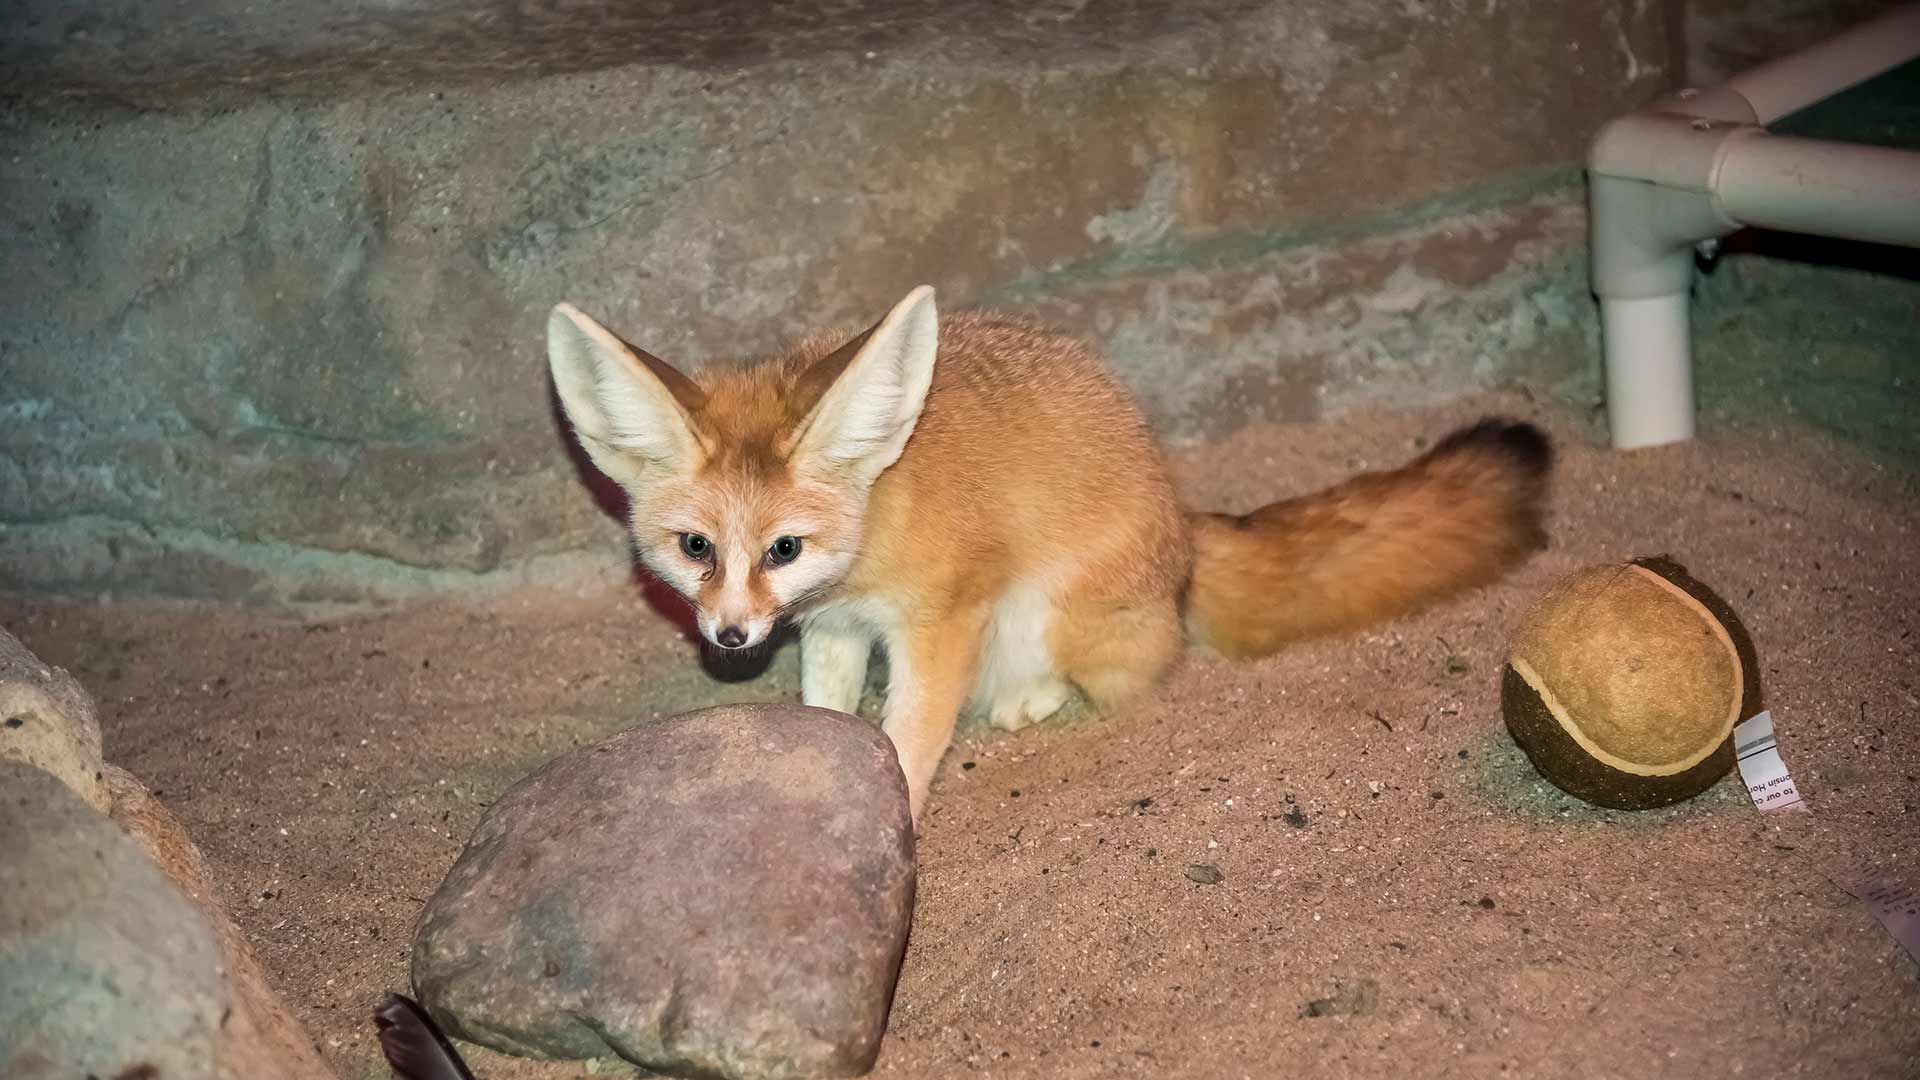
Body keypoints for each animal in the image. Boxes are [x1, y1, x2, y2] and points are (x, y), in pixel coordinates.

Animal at [549, 284, 1551, 814]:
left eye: (784, 547)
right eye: (696, 548)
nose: (727, 638)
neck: (881, 510)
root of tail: (1183, 531)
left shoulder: (942, 621)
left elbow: (909, 735)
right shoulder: (834, 628)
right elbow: (833, 714)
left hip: (1045, 613)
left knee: (1125, 674)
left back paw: (1032, 698)